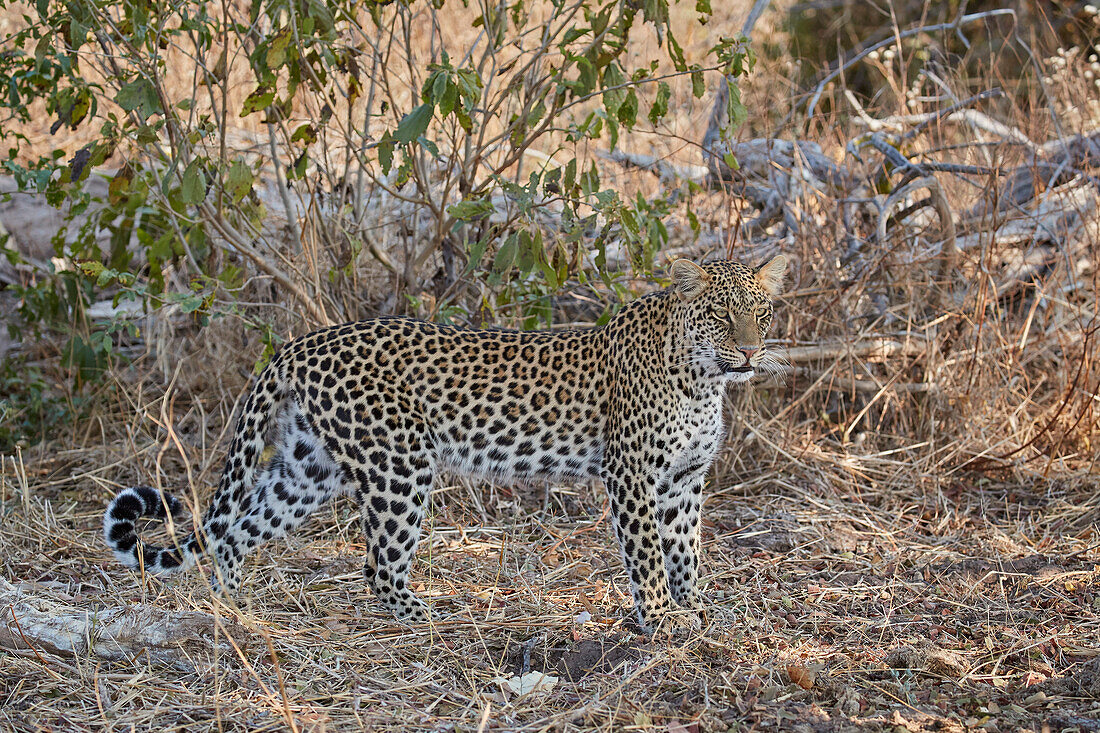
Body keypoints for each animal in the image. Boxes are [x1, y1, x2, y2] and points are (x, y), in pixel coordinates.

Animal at [103, 254, 787, 629]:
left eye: (763, 313)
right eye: (722, 316)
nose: (752, 353)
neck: (704, 380)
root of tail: (300, 344)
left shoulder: (683, 480)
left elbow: (685, 550)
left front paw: (693, 607)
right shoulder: (634, 475)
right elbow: (647, 553)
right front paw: (663, 619)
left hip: (307, 468)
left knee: (237, 530)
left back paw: (234, 611)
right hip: (399, 466)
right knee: (377, 563)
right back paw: (421, 614)